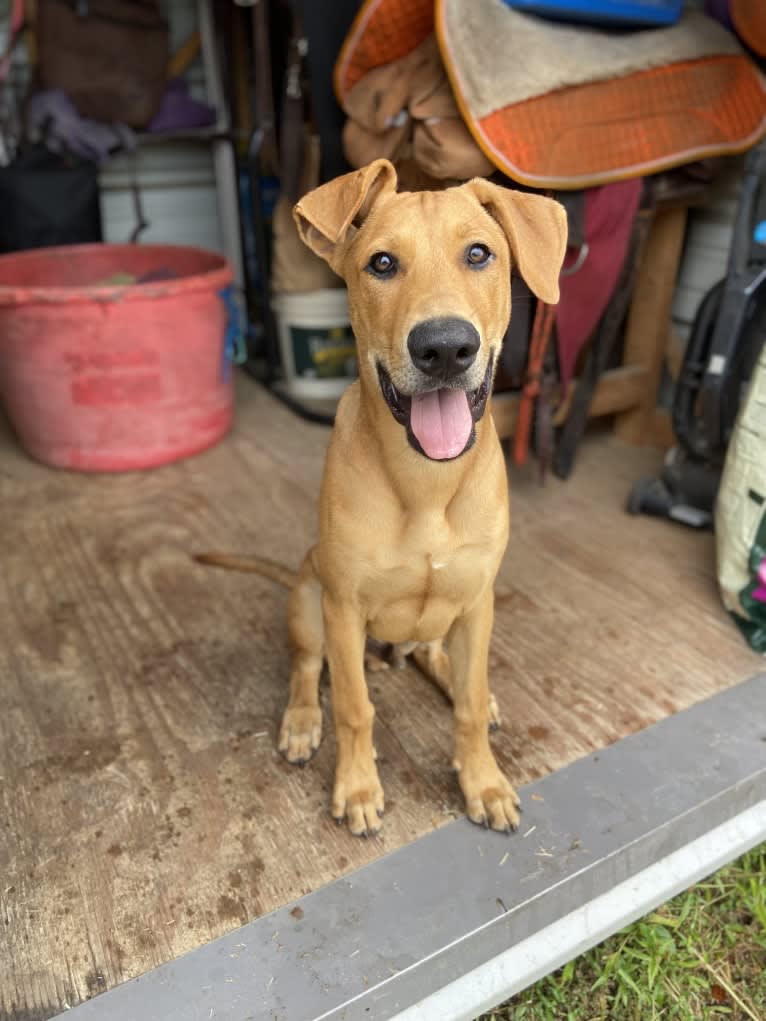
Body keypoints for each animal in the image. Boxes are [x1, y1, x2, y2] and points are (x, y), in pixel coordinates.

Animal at [201, 157, 567, 829]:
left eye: (480, 254)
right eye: (381, 264)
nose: (445, 347)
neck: (426, 482)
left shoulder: (478, 601)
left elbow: (468, 704)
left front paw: (483, 782)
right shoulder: (343, 607)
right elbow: (354, 707)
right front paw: (357, 787)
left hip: (449, 616)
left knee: (440, 662)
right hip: (308, 595)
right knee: (306, 667)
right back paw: (301, 721)